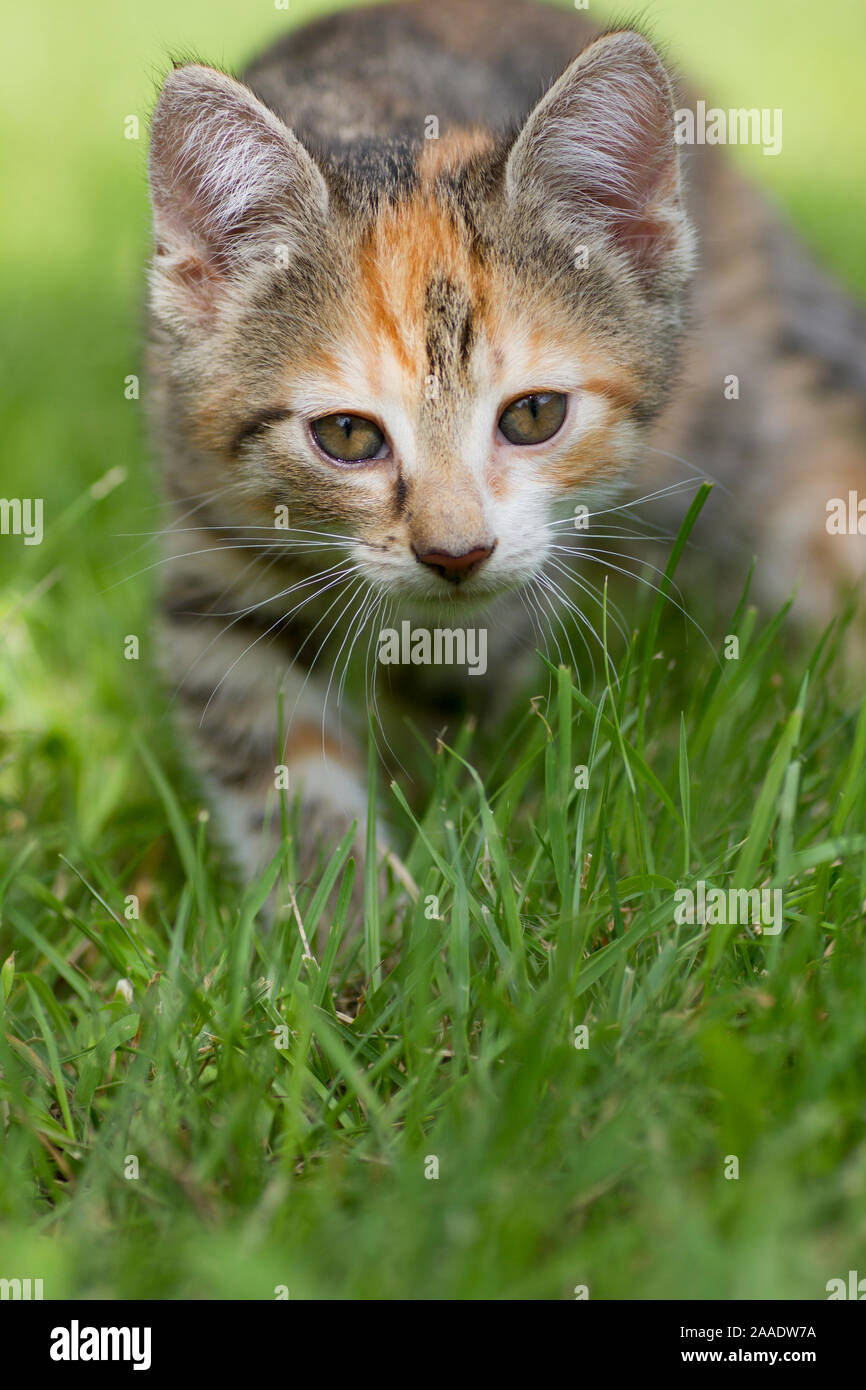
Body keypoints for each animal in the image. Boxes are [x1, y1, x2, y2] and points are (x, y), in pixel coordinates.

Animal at [145, 0, 866, 889]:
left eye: (533, 417)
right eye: (346, 434)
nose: (455, 553)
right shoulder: (211, 545)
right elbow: (278, 758)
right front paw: (349, 905)